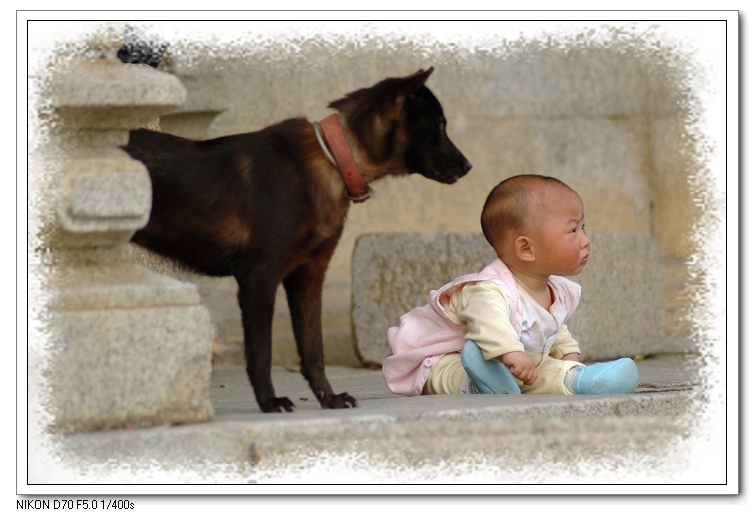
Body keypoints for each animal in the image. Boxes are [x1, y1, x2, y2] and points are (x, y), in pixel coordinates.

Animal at [124, 69, 472, 416]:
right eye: (440, 126)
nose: (468, 166)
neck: (334, 160)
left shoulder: (308, 277)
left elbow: (313, 349)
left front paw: (329, 398)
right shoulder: (259, 278)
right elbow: (262, 352)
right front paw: (269, 402)